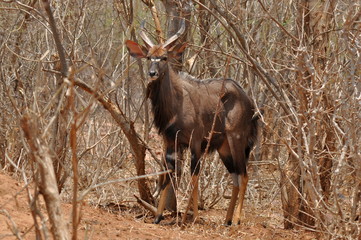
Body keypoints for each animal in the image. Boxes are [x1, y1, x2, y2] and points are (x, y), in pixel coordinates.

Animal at [125, 19, 258, 225]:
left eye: (164, 57)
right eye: (148, 57)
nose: (152, 73)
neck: (176, 104)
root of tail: (250, 103)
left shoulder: (195, 143)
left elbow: (194, 177)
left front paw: (192, 216)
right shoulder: (171, 143)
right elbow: (168, 175)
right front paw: (158, 217)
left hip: (236, 139)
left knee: (243, 175)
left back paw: (235, 220)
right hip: (224, 148)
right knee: (235, 176)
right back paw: (227, 220)